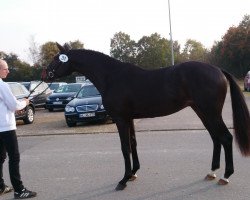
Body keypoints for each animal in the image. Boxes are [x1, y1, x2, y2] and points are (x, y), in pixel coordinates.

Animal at [42, 43, 250, 191]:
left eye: (56, 58)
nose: (44, 74)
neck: (112, 77)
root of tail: (218, 70)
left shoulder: (121, 119)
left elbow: (125, 147)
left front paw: (123, 180)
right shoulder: (129, 118)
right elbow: (133, 144)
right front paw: (133, 173)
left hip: (210, 112)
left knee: (226, 138)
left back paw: (225, 176)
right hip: (202, 111)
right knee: (216, 138)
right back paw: (212, 172)